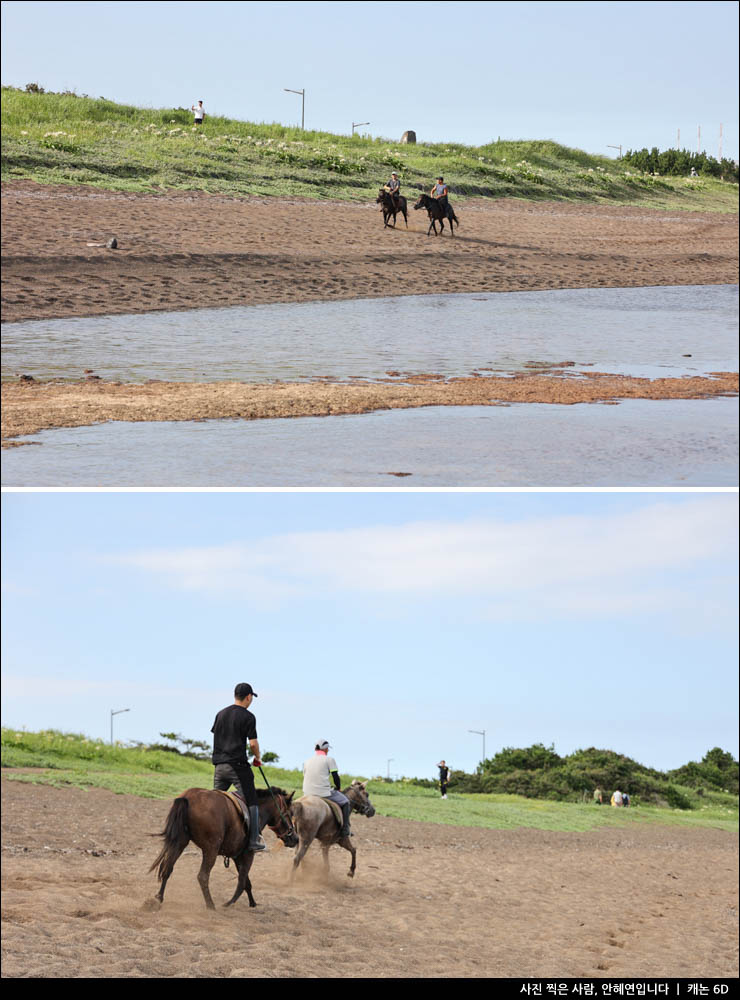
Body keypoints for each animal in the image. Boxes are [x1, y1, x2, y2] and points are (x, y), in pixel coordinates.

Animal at [150, 784, 298, 912]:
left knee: (167, 868)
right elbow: (242, 881)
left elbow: (247, 882)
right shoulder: (248, 854)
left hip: (180, 842)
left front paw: (252, 903)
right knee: (202, 876)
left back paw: (158, 898)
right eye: (290, 813)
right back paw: (211, 905)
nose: (296, 839)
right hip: (211, 849)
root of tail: (188, 797)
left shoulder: (237, 856)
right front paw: (229, 903)